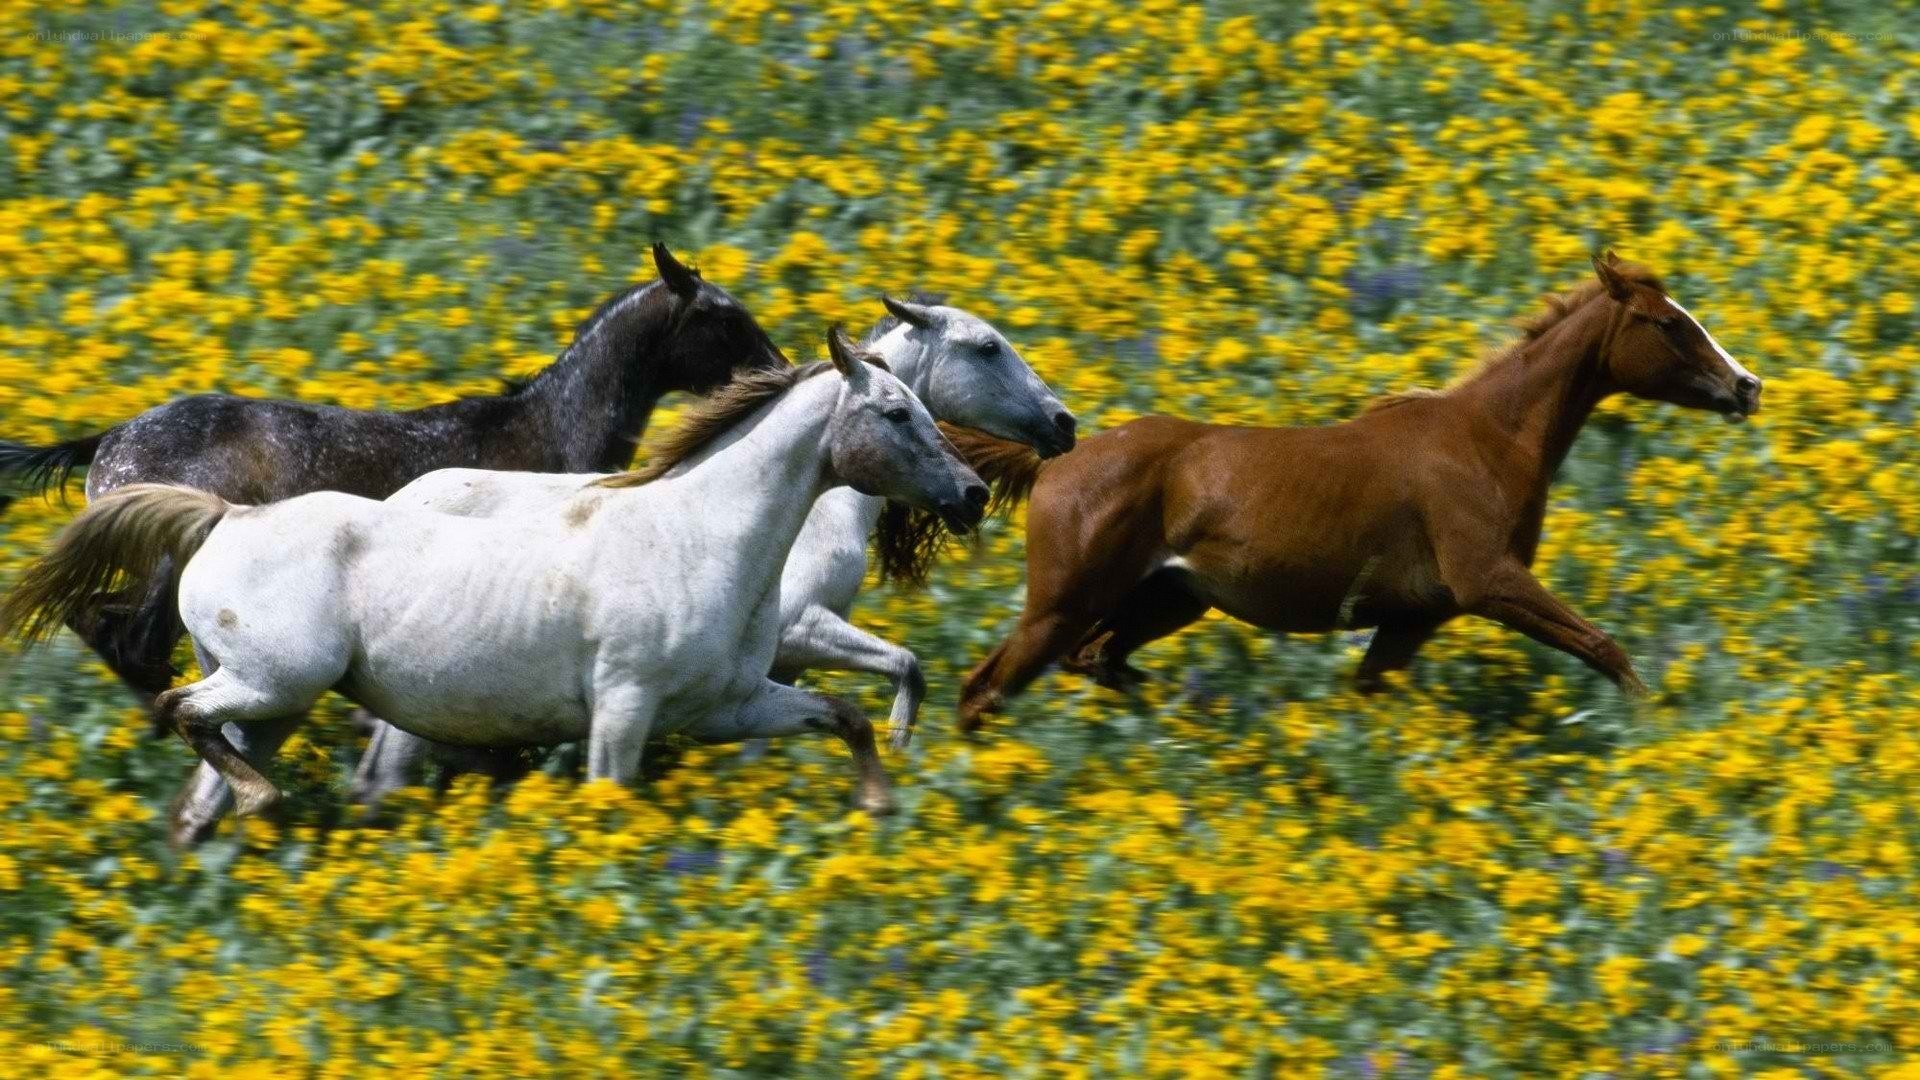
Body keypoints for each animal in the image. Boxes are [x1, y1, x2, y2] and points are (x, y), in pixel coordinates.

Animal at [0, 243, 789, 720]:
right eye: (726, 319)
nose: (780, 366)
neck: (551, 426)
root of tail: (105, 442)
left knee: (106, 627)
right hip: (166, 568)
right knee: (125, 637)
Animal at [169, 294, 1077, 839]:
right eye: (987, 347)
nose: (1063, 424)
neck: (703, 535)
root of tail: (225, 525)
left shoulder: (731, 697)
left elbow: (849, 708)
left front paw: (879, 794)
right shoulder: (661, 691)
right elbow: (899, 667)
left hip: (288, 701)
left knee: (221, 785)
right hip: (292, 686)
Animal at [951, 254, 1764, 731]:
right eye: (1669, 323)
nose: (1747, 386)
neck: (1488, 439)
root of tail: (1058, 459)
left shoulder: (1412, 618)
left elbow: (1368, 693)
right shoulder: (1489, 581)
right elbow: (1606, 648)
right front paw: (1652, 732)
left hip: (1167, 600)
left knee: (1098, 662)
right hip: (1063, 603)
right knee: (985, 687)